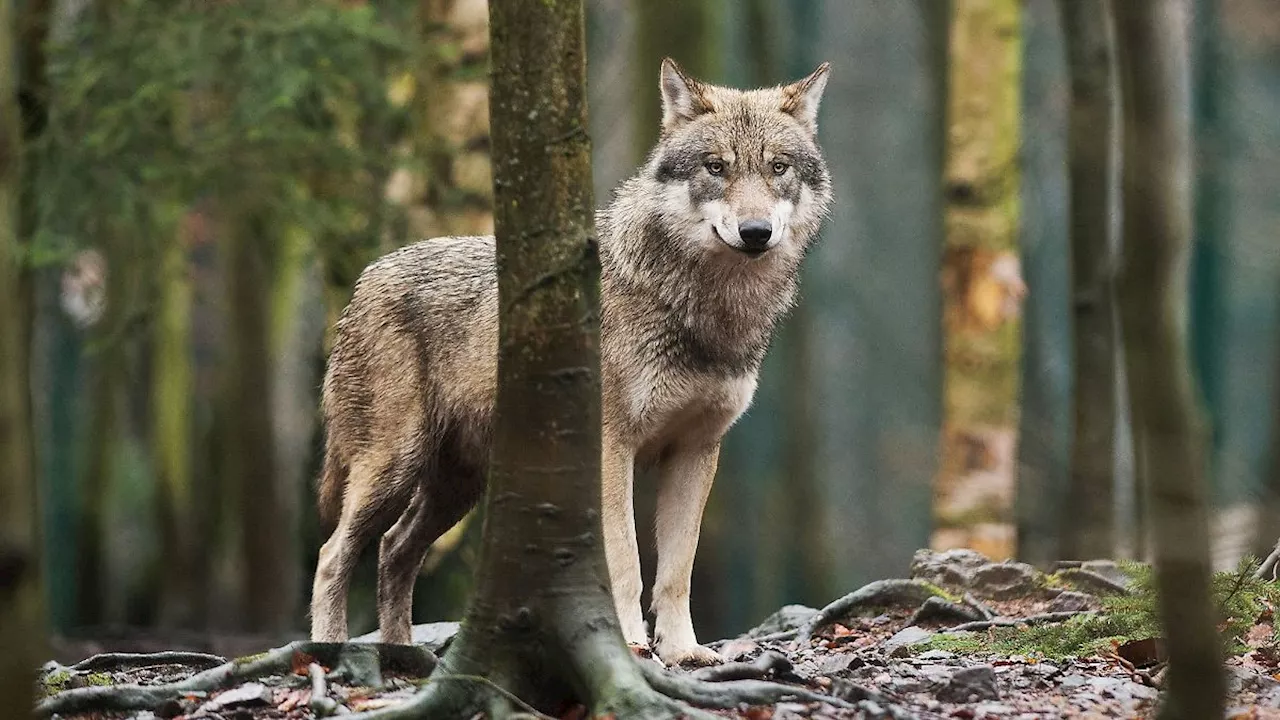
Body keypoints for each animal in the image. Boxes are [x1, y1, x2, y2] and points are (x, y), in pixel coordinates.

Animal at [308, 57, 829, 666]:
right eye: (716, 167)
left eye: (778, 168)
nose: (755, 232)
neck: (704, 310)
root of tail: (366, 277)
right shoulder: (611, 448)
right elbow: (626, 561)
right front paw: (630, 644)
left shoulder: (696, 450)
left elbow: (677, 570)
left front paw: (684, 652)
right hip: (394, 467)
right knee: (333, 555)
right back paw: (329, 652)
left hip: (457, 487)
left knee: (394, 550)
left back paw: (402, 656)